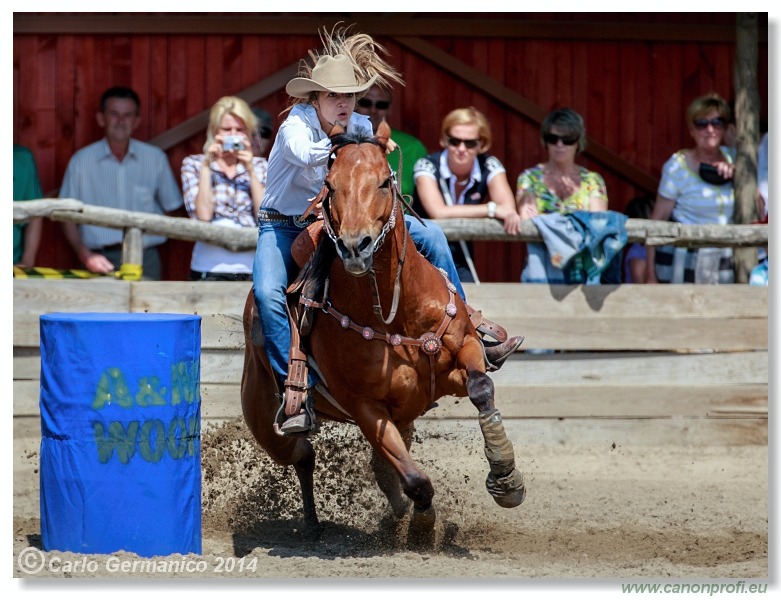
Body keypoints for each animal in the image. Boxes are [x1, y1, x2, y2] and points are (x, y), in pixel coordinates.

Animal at [241, 119, 528, 540]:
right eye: (330, 185)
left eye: (382, 182)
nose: (355, 246)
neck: (396, 314)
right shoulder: (365, 407)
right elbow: (416, 480)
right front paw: (422, 527)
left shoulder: (462, 354)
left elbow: (481, 387)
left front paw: (506, 479)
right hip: (266, 424)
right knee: (303, 455)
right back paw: (313, 522)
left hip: (405, 414)